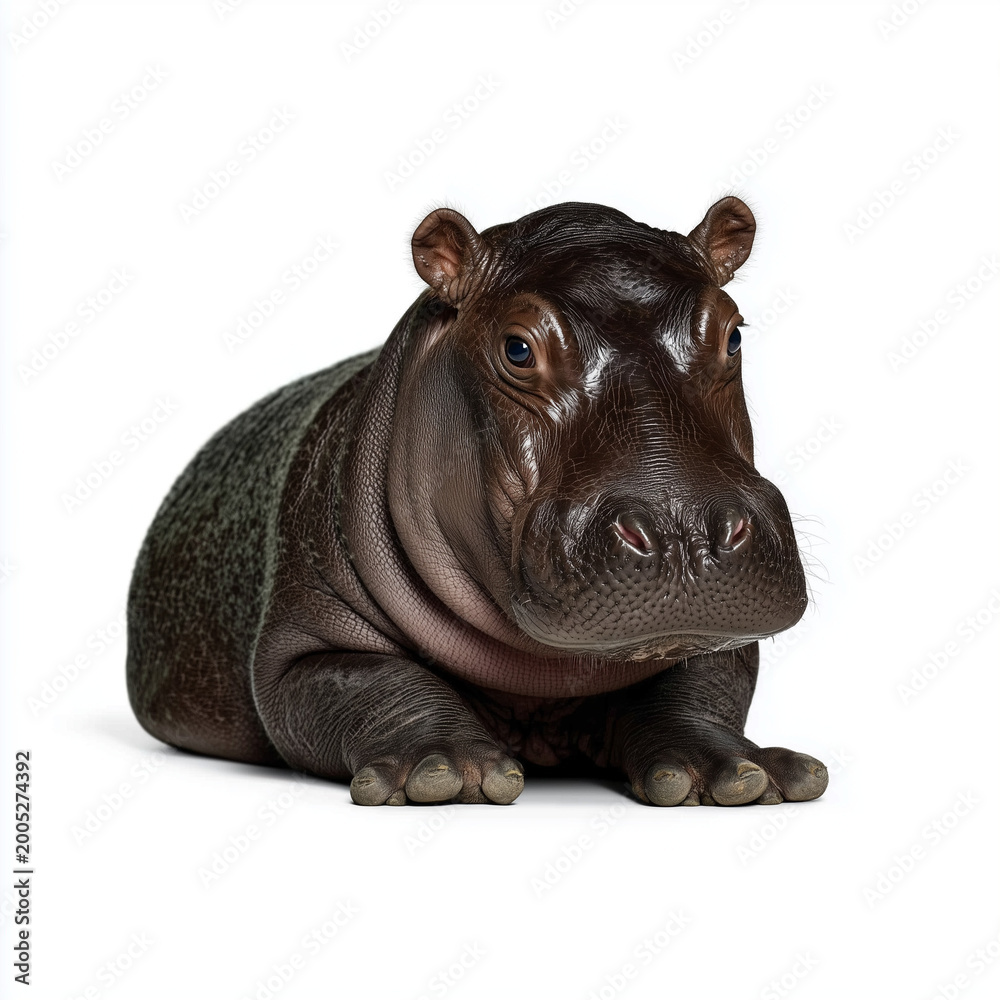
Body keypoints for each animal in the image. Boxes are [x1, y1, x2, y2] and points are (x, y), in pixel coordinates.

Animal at [126, 197, 829, 808]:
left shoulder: (714, 636)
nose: (684, 527)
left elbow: (698, 687)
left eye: (734, 333)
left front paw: (736, 772)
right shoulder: (302, 642)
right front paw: (442, 768)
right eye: (516, 347)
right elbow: (376, 682)